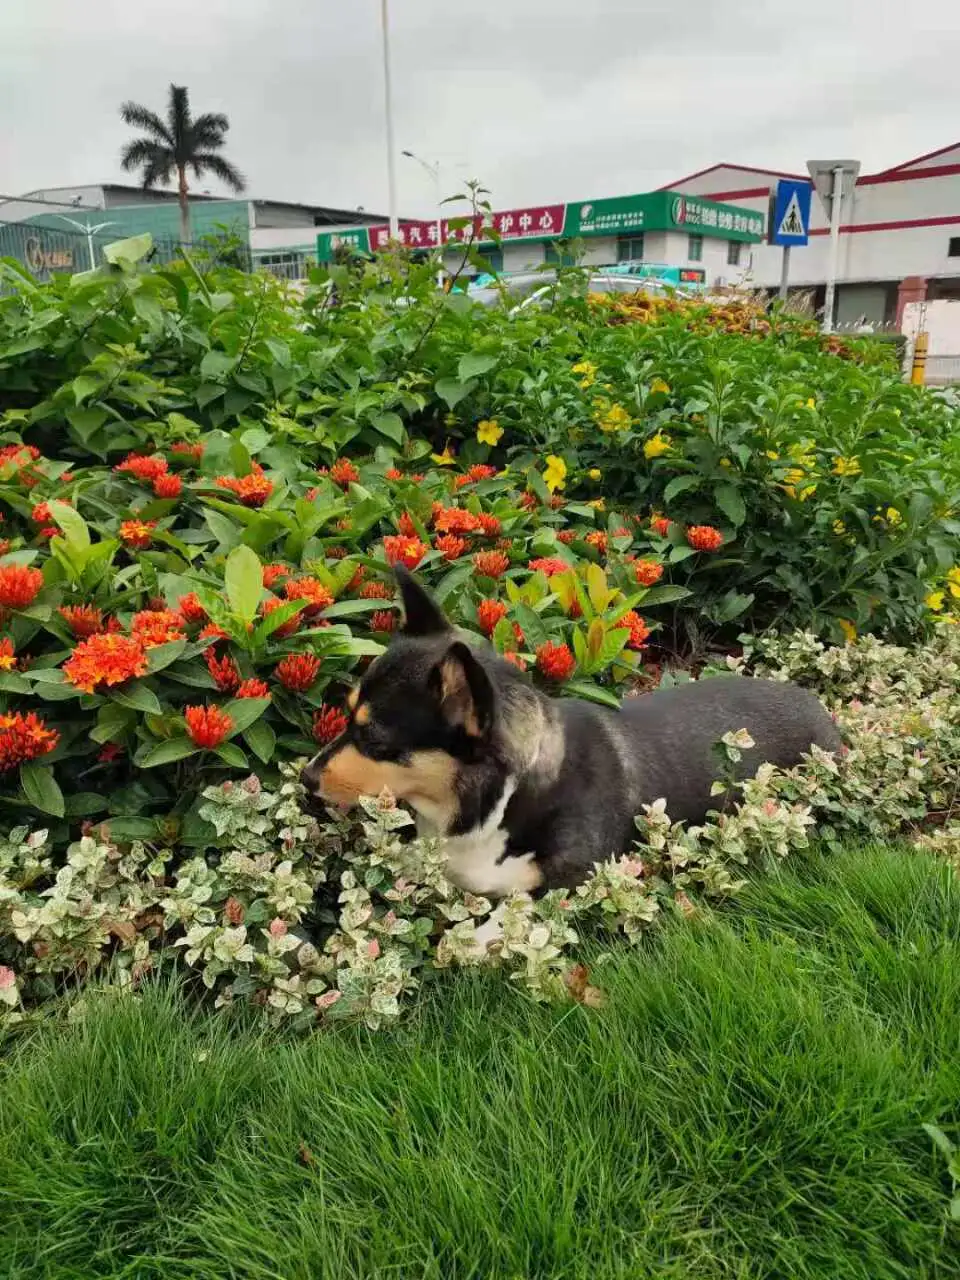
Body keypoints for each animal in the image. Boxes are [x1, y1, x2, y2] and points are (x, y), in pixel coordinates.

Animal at [300, 570, 839, 901]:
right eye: (345, 714)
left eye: (374, 738)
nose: (304, 779)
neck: (504, 795)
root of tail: (822, 711)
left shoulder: (574, 882)